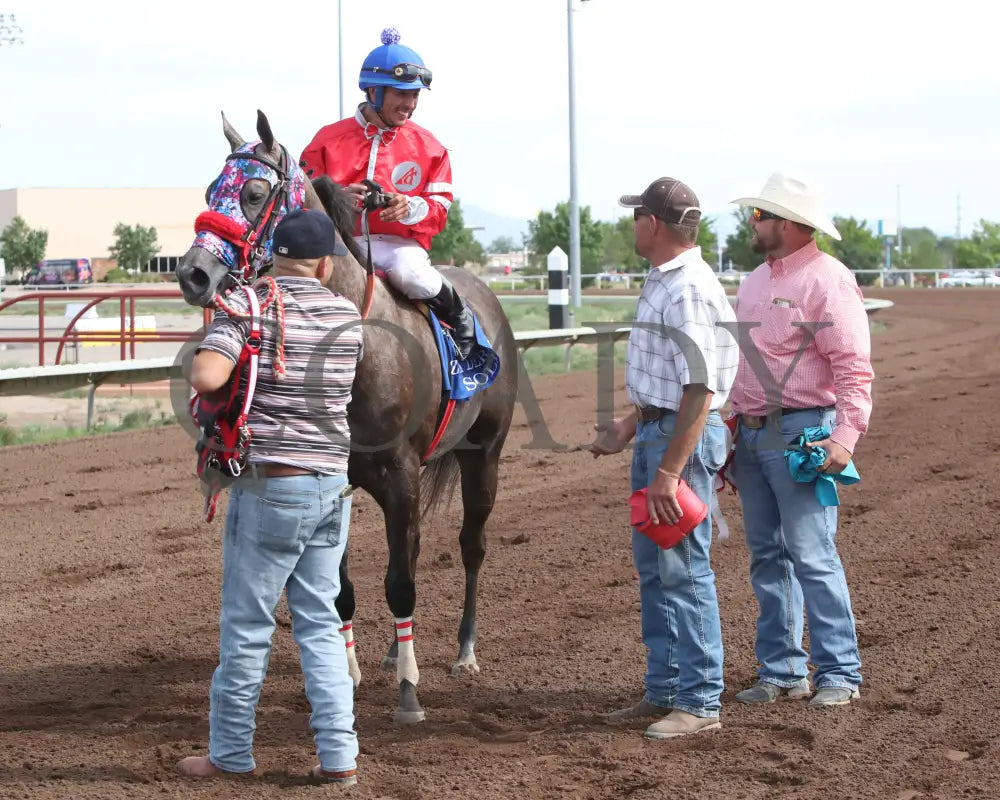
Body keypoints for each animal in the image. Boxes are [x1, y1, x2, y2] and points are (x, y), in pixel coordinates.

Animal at [176, 109, 516, 720]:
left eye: (255, 193)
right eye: (212, 190)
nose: (193, 274)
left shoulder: (400, 475)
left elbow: (400, 582)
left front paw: (409, 690)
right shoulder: (331, 478)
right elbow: (341, 589)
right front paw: (350, 673)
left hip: (485, 456)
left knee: (470, 546)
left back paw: (464, 651)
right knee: (416, 548)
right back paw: (392, 652)